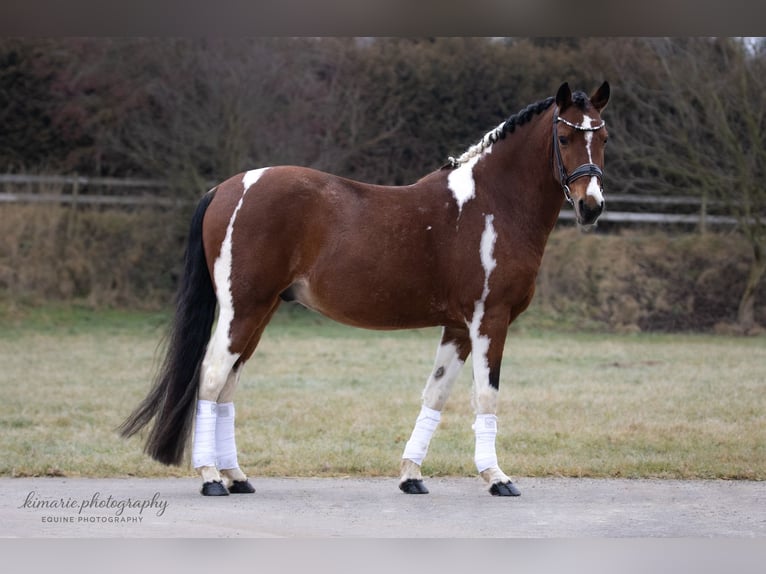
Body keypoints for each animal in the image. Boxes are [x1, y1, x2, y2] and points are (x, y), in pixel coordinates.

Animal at [120, 81, 610, 497]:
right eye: (564, 138)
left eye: (603, 138)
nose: (591, 206)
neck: (493, 205)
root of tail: (226, 188)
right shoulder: (490, 319)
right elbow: (486, 396)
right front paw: (497, 478)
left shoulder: (458, 327)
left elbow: (435, 393)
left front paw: (411, 476)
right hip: (244, 309)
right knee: (211, 377)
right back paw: (210, 478)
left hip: (258, 314)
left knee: (227, 387)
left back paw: (235, 476)